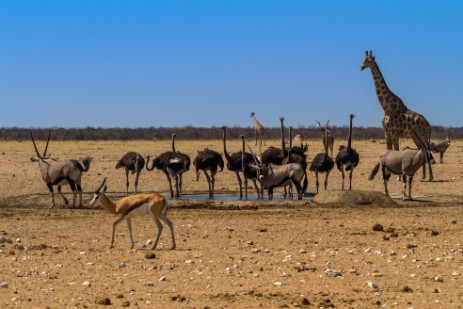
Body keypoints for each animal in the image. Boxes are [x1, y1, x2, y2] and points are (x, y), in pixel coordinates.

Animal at [362, 50, 436, 180]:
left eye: (369, 61)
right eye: (363, 59)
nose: (361, 67)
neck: (386, 107)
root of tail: (429, 125)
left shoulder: (394, 132)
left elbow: (396, 151)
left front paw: (398, 177)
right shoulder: (386, 133)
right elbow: (389, 150)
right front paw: (389, 174)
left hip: (423, 135)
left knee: (427, 149)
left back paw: (431, 177)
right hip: (415, 136)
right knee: (421, 150)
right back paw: (423, 176)